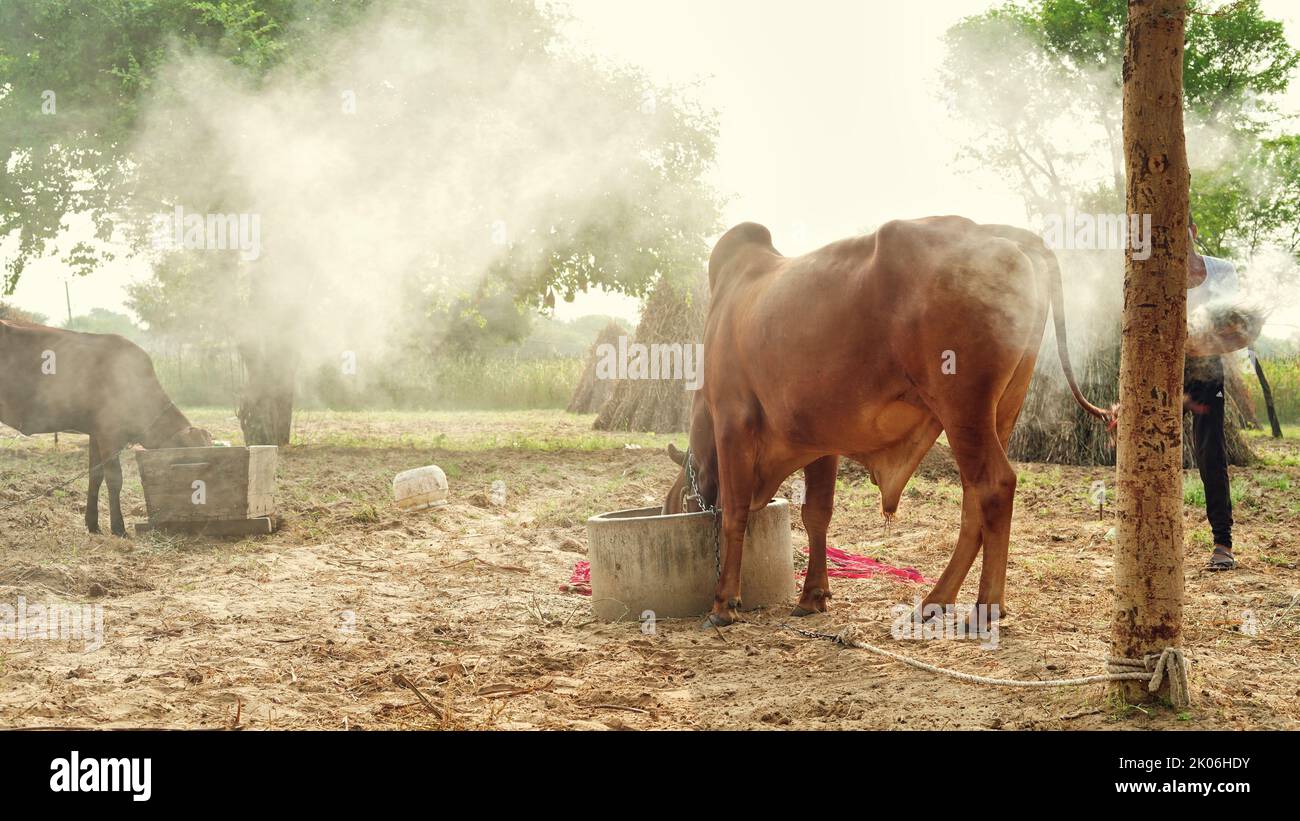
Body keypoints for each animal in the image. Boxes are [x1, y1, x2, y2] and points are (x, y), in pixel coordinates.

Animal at [0, 316, 210, 535]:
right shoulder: (109, 433)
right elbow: (114, 478)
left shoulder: (95, 434)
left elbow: (95, 475)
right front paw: (118, 528)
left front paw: (92, 523)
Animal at [670, 214, 1107, 626]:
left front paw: (724, 603)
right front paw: (812, 596)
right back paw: (935, 601)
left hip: (963, 410)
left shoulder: (733, 419)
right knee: (973, 501)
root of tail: (989, 231)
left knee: (994, 486)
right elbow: (816, 515)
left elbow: (734, 512)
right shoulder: (819, 440)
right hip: (1000, 412)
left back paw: (985, 607)